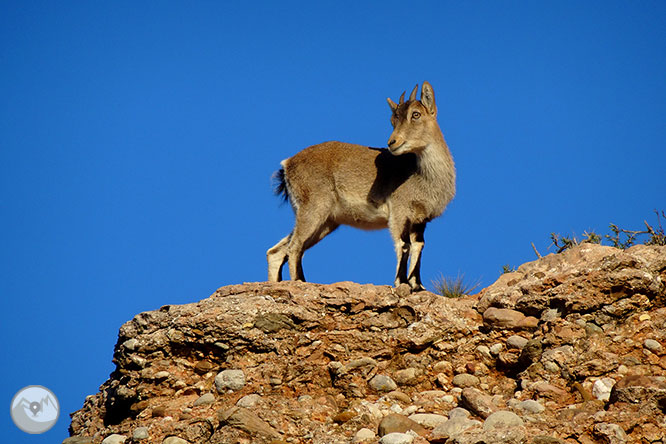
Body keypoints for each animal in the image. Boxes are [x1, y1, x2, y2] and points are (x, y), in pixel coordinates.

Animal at [268, 82, 454, 292]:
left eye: (416, 114)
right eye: (393, 120)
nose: (392, 143)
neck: (422, 176)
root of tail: (287, 164)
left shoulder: (421, 219)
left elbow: (418, 246)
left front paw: (418, 285)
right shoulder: (400, 212)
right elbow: (404, 244)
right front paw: (402, 282)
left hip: (326, 221)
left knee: (277, 251)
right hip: (314, 208)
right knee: (295, 246)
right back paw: (300, 281)